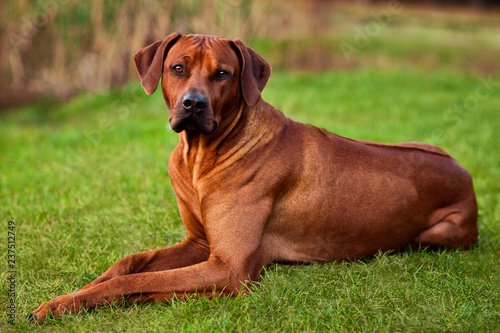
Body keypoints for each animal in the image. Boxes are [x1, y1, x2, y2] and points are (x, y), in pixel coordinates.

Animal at [29, 33, 478, 322]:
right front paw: (73, 294)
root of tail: (465, 172)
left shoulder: (227, 267)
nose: (193, 104)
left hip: (438, 233)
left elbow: (141, 282)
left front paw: (77, 301)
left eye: (223, 74)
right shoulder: (199, 242)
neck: (202, 155)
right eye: (178, 68)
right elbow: (128, 264)